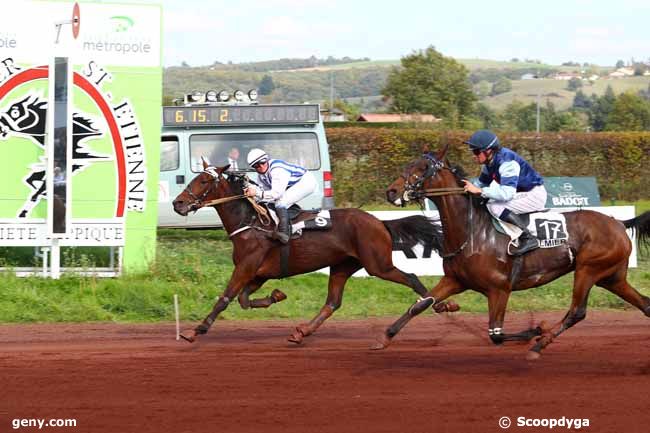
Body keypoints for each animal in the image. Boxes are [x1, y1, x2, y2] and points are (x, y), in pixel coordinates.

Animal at [172, 159, 446, 344]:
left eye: (204, 181)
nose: (178, 203)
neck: (250, 223)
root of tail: (381, 222)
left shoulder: (246, 268)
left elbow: (225, 298)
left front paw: (195, 330)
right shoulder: (259, 274)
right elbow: (244, 300)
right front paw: (277, 296)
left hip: (378, 265)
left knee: (411, 278)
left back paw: (438, 304)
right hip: (342, 266)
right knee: (332, 302)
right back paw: (302, 331)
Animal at [380, 144, 648, 358]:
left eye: (423, 167)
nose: (391, 191)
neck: (472, 232)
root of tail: (618, 222)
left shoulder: (499, 289)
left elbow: (495, 334)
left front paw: (535, 330)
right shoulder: (455, 280)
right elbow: (420, 305)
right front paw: (385, 338)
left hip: (588, 270)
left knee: (576, 312)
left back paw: (539, 345)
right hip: (611, 277)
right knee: (644, 304)